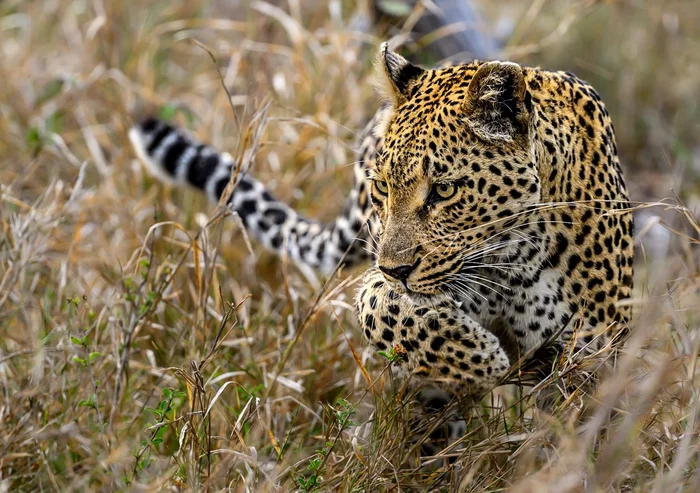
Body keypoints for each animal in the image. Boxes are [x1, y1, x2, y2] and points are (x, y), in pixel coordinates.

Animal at [127, 42, 636, 446]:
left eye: (444, 190)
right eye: (383, 186)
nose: (396, 269)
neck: (514, 258)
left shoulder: (596, 347)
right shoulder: (395, 285)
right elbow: (383, 308)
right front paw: (484, 359)